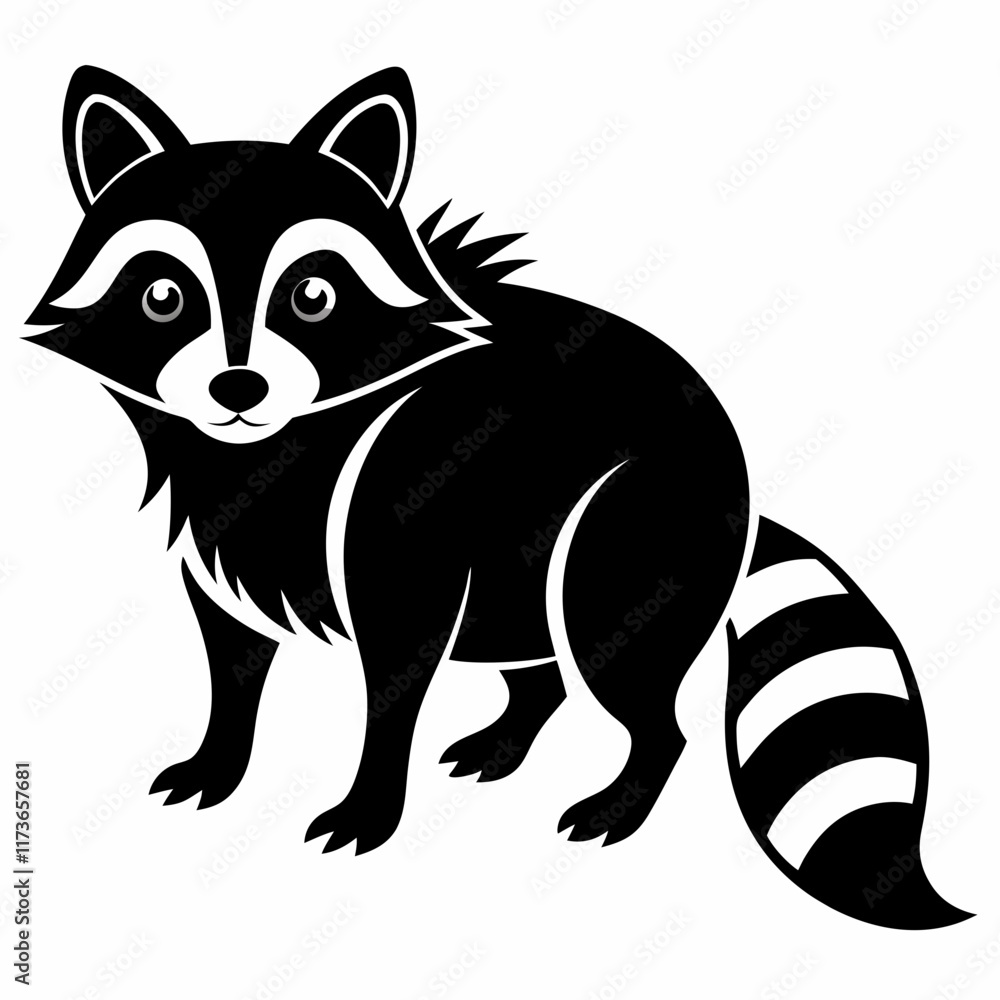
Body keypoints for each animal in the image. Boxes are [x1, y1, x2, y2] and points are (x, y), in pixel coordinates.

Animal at [25, 65, 969, 929]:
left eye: (312, 296)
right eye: (163, 296)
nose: (237, 387)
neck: (273, 449)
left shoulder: (406, 504)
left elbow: (394, 680)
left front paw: (370, 800)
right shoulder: (221, 542)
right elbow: (232, 660)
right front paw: (221, 757)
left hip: (630, 524)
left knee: (622, 667)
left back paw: (624, 792)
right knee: (537, 652)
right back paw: (513, 730)